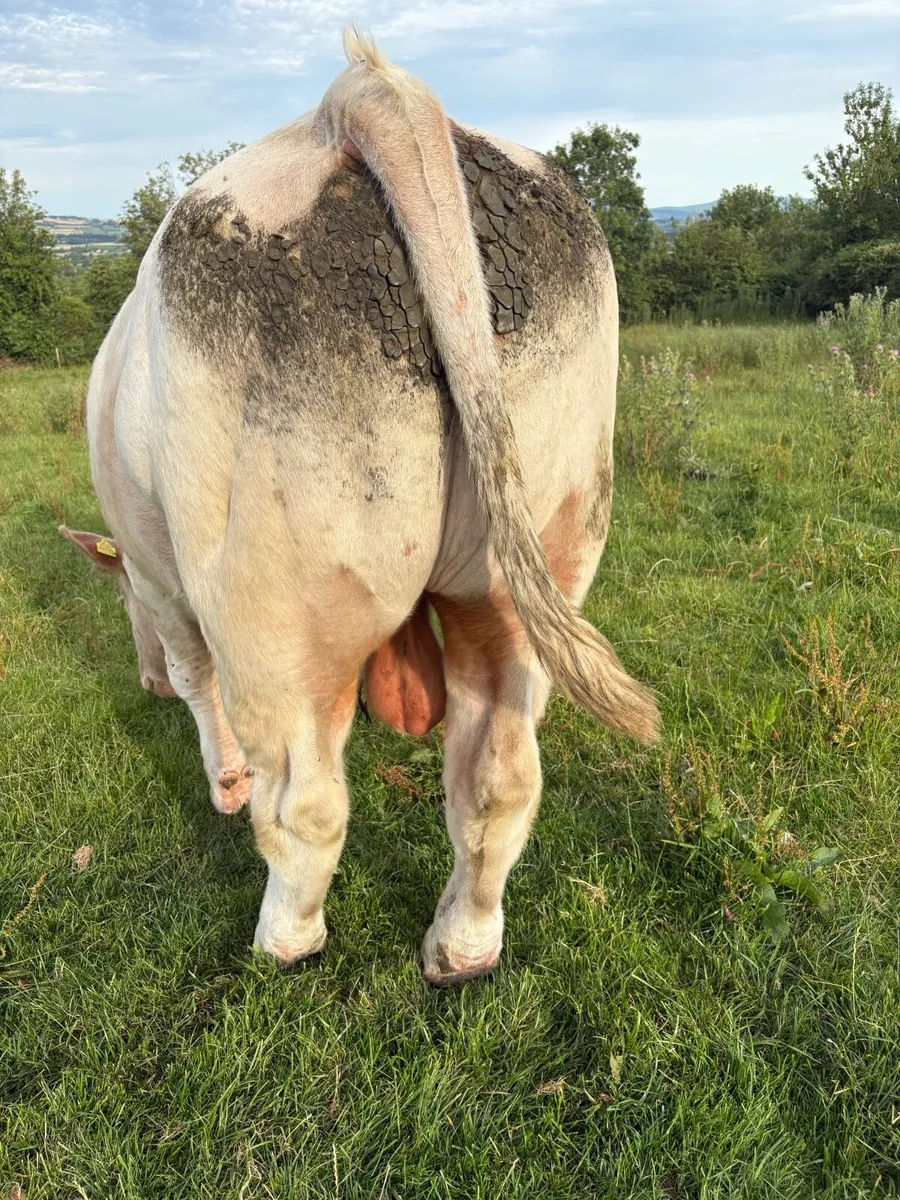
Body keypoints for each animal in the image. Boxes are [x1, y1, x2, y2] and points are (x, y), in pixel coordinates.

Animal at [60, 31, 659, 985]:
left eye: (119, 605)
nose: (140, 682)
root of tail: (366, 100)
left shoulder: (157, 579)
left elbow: (197, 684)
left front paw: (220, 778)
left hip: (273, 608)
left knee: (305, 805)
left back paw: (284, 940)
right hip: (530, 566)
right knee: (501, 775)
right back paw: (462, 950)